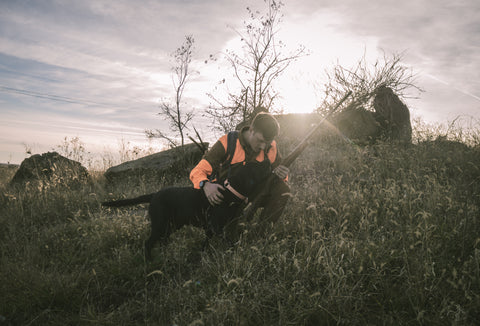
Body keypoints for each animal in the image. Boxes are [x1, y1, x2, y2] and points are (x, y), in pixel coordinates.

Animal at [101, 160, 270, 260]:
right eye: (258, 165)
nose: (268, 159)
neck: (229, 191)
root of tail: (154, 195)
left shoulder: (211, 229)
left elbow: (205, 243)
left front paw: (202, 255)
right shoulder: (216, 227)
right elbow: (229, 242)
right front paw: (237, 251)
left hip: (172, 225)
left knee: (162, 241)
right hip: (159, 224)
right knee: (148, 243)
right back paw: (150, 262)